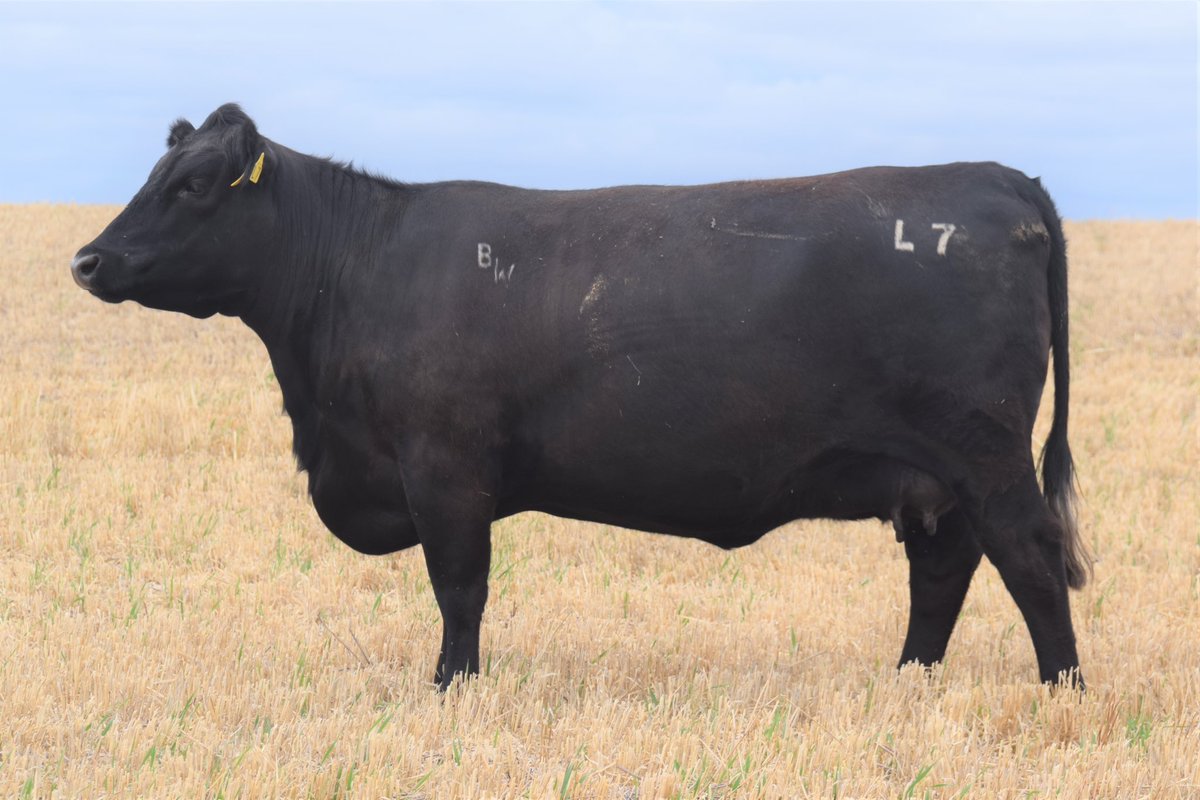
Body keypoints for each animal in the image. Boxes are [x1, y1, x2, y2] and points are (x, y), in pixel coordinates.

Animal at [71, 104, 1090, 690]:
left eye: (196, 184)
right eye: (157, 175)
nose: (88, 259)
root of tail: (1001, 178)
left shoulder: (445, 470)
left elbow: (460, 589)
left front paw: (451, 689)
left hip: (986, 453)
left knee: (1031, 559)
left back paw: (1062, 690)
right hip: (938, 476)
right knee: (945, 571)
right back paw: (909, 682)